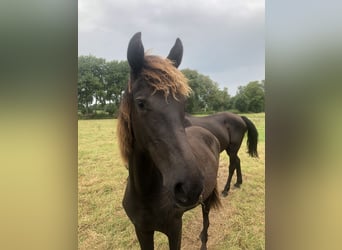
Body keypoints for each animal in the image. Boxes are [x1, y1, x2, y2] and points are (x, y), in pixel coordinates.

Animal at [116, 32, 220, 250]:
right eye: (141, 103)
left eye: (183, 103)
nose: (189, 187)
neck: (146, 193)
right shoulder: (142, 231)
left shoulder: (174, 229)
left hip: (206, 199)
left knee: (206, 222)